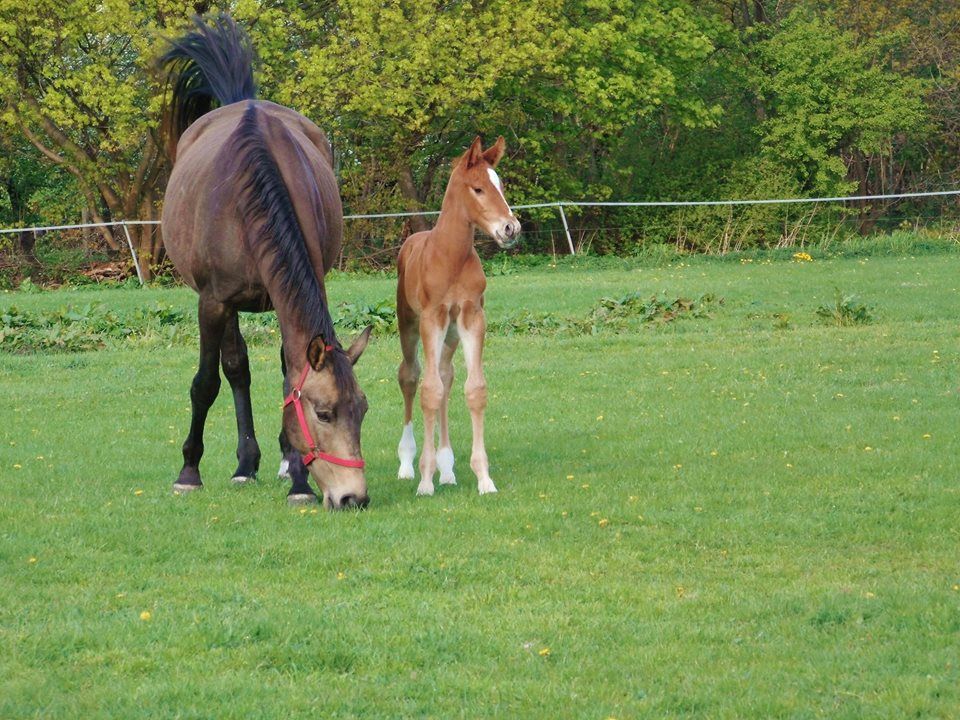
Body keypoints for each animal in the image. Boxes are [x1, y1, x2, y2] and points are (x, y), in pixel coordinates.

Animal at [159, 15, 372, 510]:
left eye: (363, 410)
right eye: (324, 413)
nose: (354, 497)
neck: (249, 197)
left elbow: (286, 374)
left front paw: (297, 478)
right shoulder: (213, 301)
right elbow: (207, 382)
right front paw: (188, 471)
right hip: (226, 304)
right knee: (235, 369)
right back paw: (244, 464)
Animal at [395, 136, 521, 496]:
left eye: (500, 185)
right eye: (478, 188)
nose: (511, 228)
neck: (450, 256)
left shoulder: (471, 317)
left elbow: (473, 390)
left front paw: (484, 478)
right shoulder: (431, 319)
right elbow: (428, 392)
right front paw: (425, 480)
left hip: (450, 336)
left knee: (445, 376)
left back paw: (447, 468)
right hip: (409, 325)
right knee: (411, 376)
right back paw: (407, 464)